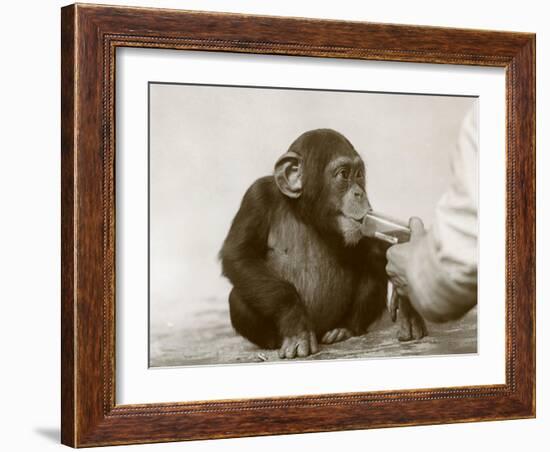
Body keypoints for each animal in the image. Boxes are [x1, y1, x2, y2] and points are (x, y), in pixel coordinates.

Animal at [220, 129, 426, 358]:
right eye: (344, 174)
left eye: (359, 174)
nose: (359, 193)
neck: (303, 212)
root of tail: (319, 333)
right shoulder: (256, 198)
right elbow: (240, 255)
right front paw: (295, 324)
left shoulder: (365, 222)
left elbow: (372, 248)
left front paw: (408, 301)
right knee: (238, 297)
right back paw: (275, 341)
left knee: (372, 274)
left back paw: (343, 329)